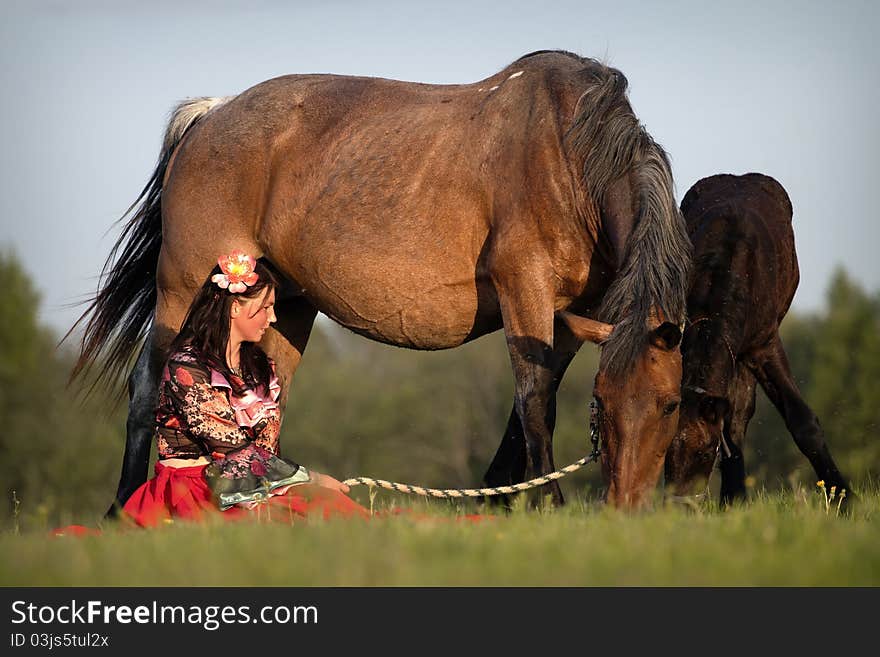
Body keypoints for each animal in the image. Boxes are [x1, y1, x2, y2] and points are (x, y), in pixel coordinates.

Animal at [72, 51, 692, 512]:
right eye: (602, 403)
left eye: (670, 404)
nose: (626, 509)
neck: (569, 155)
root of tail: (213, 113)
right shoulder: (527, 292)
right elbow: (535, 402)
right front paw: (545, 506)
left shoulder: (572, 318)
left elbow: (528, 408)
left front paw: (499, 500)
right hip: (184, 289)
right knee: (149, 386)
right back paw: (121, 508)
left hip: (285, 307)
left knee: (268, 397)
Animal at [668, 173, 852, 502]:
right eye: (665, 455)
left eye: (704, 452)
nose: (678, 505)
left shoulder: (764, 345)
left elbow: (802, 421)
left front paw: (843, 496)